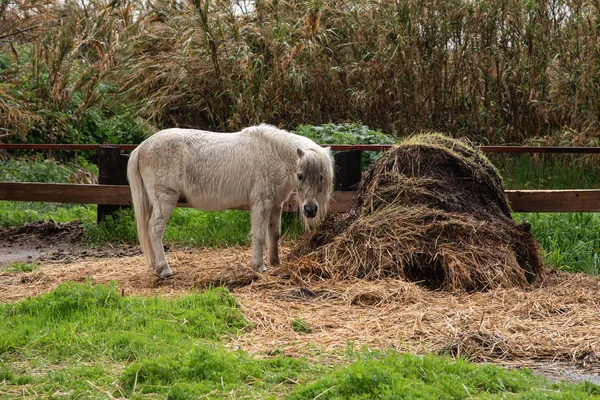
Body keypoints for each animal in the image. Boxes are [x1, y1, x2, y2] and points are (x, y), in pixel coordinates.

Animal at [127, 125, 332, 278]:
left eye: (321, 177)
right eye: (300, 175)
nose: (310, 210)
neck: (273, 152)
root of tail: (142, 146)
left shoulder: (275, 205)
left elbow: (274, 235)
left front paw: (276, 263)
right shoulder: (262, 204)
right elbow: (259, 236)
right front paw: (259, 266)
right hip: (165, 200)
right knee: (155, 230)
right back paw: (164, 269)